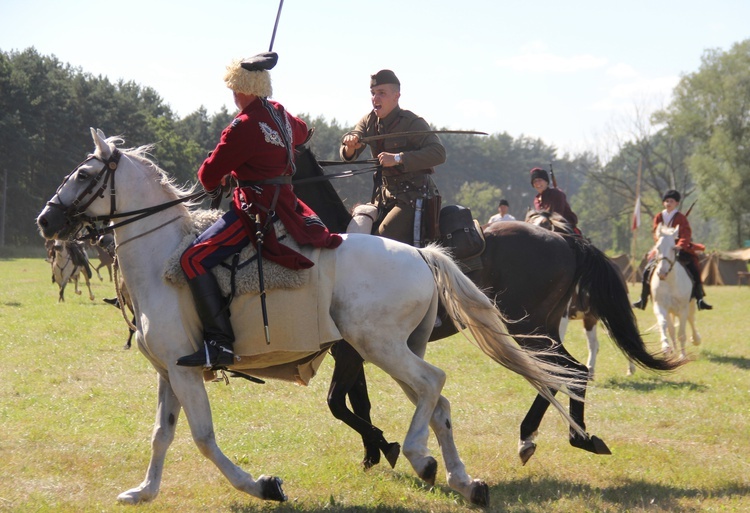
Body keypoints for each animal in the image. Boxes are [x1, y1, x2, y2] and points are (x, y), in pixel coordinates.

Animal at [36, 129, 588, 508]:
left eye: (83, 174)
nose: (46, 220)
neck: (162, 258)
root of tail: (423, 253)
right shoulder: (171, 372)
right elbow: (161, 434)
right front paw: (143, 491)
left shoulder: (186, 371)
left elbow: (203, 438)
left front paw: (263, 485)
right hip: (397, 348)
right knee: (438, 401)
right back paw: (464, 480)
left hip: (384, 346)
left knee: (438, 384)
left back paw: (424, 455)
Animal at [294, 145, 688, 468]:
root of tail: (564, 240)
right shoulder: (352, 351)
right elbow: (356, 402)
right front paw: (374, 452)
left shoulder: (353, 352)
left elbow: (337, 402)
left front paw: (383, 446)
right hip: (542, 327)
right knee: (556, 371)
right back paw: (553, 436)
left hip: (529, 327)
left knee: (567, 369)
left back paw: (564, 436)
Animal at [652, 222, 704, 358]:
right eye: (658, 248)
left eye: (673, 248)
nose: (662, 273)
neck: (670, 282)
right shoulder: (660, 305)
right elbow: (663, 324)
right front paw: (666, 347)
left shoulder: (683, 308)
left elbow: (682, 333)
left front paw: (683, 355)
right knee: (671, 329)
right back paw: (674, 351)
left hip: (690, 305)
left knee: (691, 319)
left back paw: (696, 339)